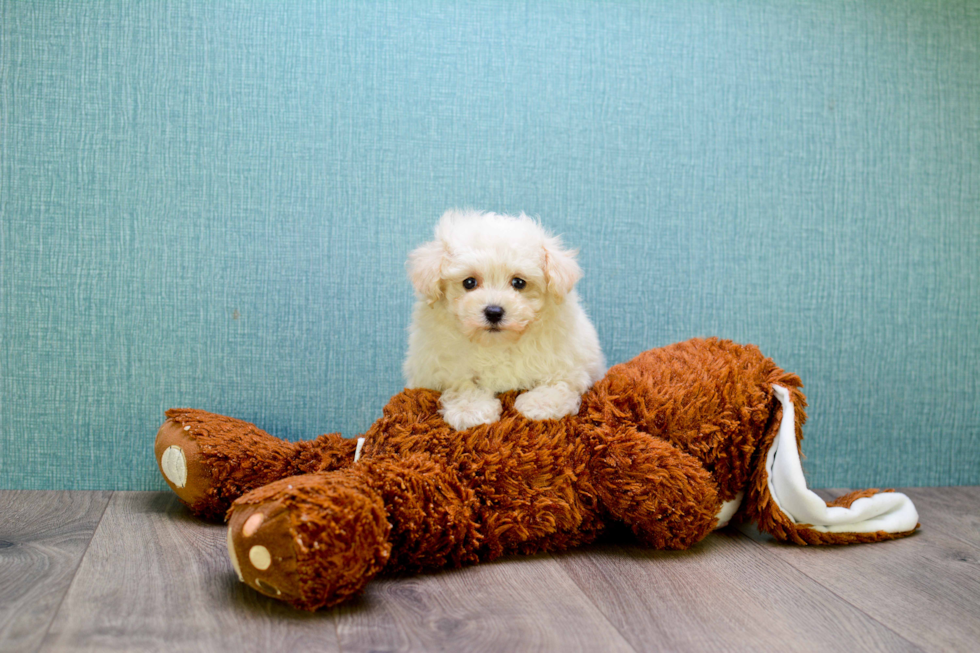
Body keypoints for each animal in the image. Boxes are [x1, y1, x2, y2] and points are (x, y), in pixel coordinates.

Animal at [404, 209, 604, 430]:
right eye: (469, 282)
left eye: (519, 283)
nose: (493, 311)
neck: (497, 344)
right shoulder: (438, 368)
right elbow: (461, 384)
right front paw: (469, 410)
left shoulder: (569, 365)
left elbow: (558, 384)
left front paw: (539, 405)